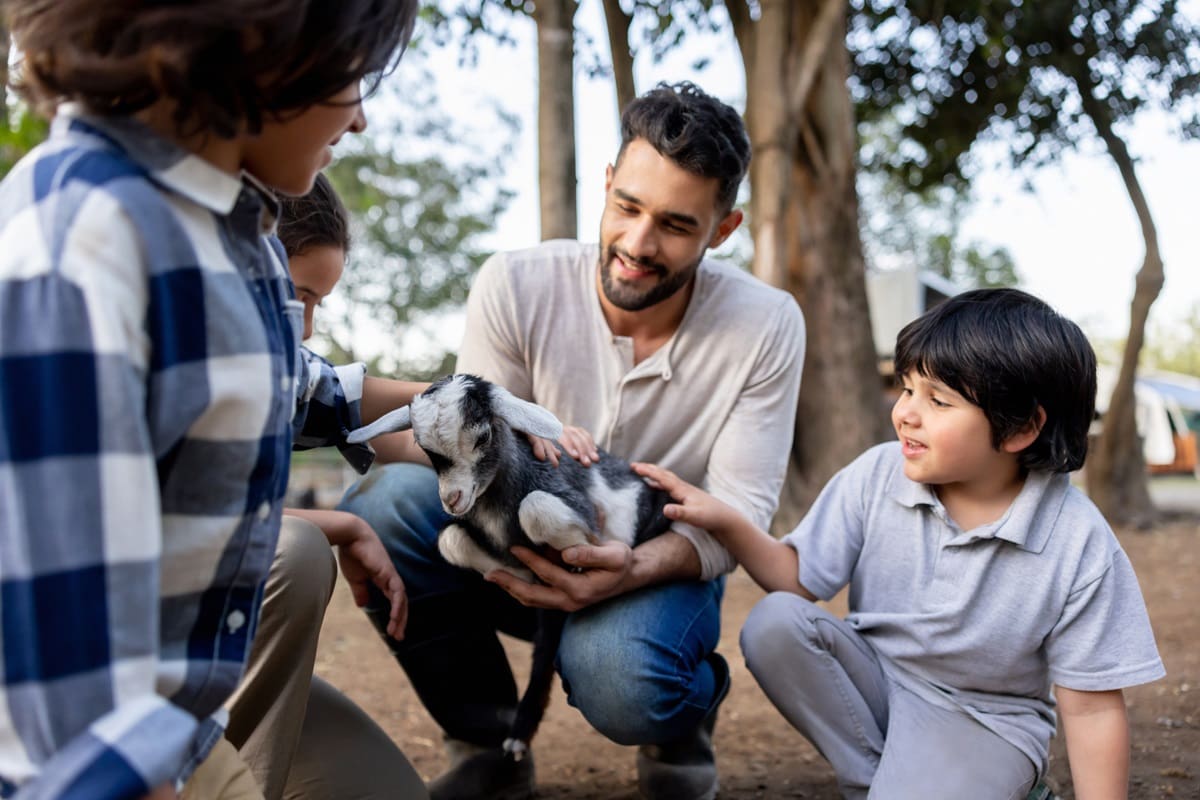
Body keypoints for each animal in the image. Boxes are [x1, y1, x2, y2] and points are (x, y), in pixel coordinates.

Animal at [348, 379, 676, 762]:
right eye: (422, 446)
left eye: (483, 436)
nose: (452, 500)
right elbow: (450, 539)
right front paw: (518, 573)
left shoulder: (581, 506)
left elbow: (536, 508)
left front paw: (577, 558)